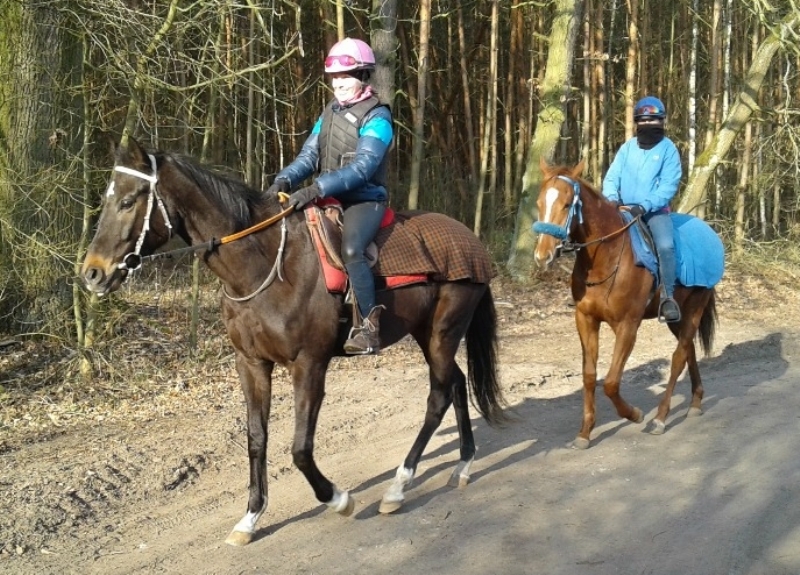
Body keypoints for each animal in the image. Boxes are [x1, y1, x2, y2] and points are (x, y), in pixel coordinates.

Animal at [81, 137, 506, 548]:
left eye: (128, 200)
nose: (92, 273)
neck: (263, 267)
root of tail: (471, 240)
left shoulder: (309, 365)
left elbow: (300, 449)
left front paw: (338, 499)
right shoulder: (251, 364)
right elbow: (256, 439)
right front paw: (250, 518)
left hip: (443, 332)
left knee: (438, 396)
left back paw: (398, 487)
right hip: (429, 334)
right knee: (457, 383)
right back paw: (463, 465)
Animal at [532, 160, 720, 452]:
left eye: (566, 204)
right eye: (540, 202)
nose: (543, 256)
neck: (605, 258)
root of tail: (708, 231)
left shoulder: (628, 326)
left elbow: (610, 382)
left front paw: (634, 414)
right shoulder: (586, 320)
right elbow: (589, 376)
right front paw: (585, 432)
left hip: (695, 308)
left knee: (679, 357)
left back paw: (660, 418)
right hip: (678, 316)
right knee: (688, 350)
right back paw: (696, 401)